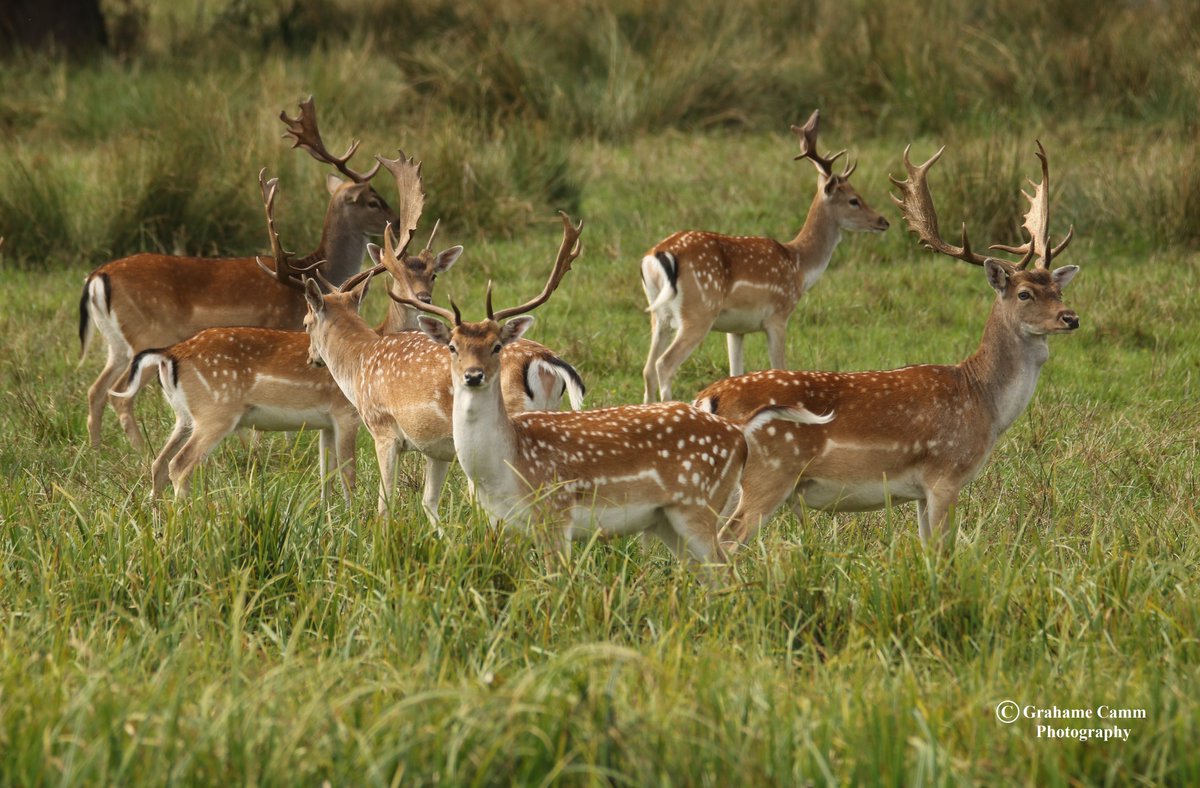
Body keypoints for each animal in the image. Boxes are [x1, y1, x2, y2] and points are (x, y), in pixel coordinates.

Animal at [80, 97, 398, 451]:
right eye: (373, 201)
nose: (398, 222)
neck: (316, 269)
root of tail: (97, 277)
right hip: (147, 334)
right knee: (120, 394)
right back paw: (139, 449)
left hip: (115, 343)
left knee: (97, 389)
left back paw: (96, 448)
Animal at [299, 213, 587, 525]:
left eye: (306, 322)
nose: (311, 357)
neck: (359, 363)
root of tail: (543, 359)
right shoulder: (434, 448)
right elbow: (429, 502)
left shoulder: (383, 429)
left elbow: (384, 503)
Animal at [381, 213, 832, 570]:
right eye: (452, 347)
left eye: (496, 346)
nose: (473, 376)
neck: (506, 467)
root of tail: (739, 433)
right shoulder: (504, 525)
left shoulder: (555, 515)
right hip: (671, 519)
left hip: (699, 506)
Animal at [640, 110, 890, 403]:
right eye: (854, 200)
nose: (883, 221)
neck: (799, 266)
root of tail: (656, 256)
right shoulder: (778, 315)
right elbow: (780, 366)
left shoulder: (736, 328)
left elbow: (735, 372)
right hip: (699, 309)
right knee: (664, 365)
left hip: (659, 314)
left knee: (647, 368)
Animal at [694, 141, 1080, 548]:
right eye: (1024, 294)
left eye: (1057, 290)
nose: (1071, 318)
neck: (982, 401)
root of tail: (709, 397)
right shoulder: (944, 475)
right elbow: (943, 549)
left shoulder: (920, 492)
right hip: (768, 475)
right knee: (726, 540)